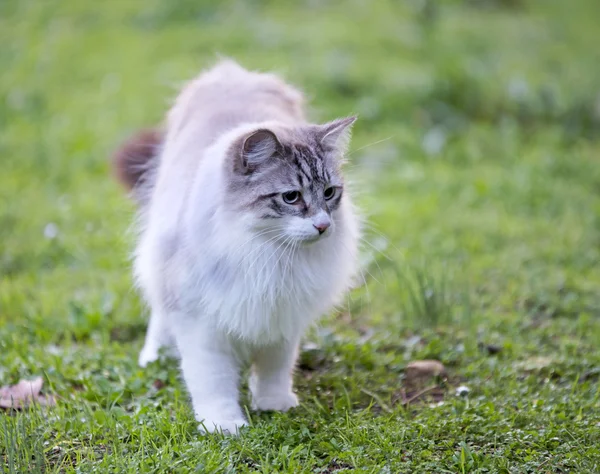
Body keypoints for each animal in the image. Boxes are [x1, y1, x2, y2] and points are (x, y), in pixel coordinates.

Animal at [113, 59, 360, 434]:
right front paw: (223, 425)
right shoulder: (201, 322)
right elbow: (212, 381)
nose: (323, 226)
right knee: (158, 308)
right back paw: (155, 354)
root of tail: (230, 70)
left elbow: (275, 369)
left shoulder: (283, 314)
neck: (267, 253)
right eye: (291, 197)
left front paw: (274, 405)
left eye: (330, 193)